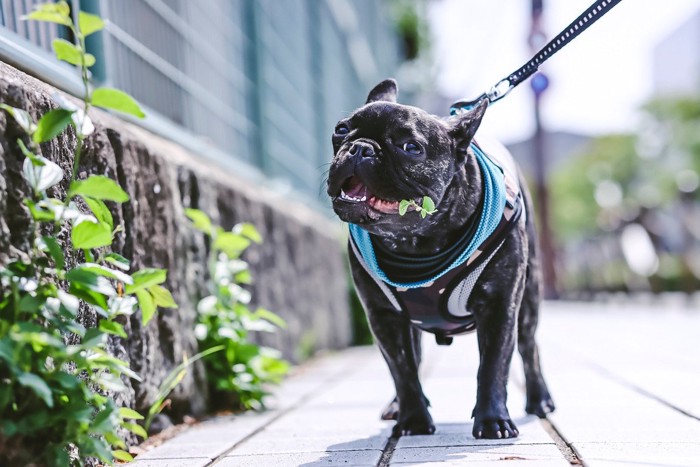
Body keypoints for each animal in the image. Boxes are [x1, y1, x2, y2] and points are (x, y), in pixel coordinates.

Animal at [326, 78, 556, 440]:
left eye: (411, 147)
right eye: (341, 129)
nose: (361, 148)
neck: (417, 243)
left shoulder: (500, 306)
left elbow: (493, 365)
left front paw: (492, 421)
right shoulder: (384, 317)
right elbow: (402, 370)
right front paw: (414, 419)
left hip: (529, 299)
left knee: (529, 348)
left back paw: (539, 401)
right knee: (415, 358)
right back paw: (398, 407)